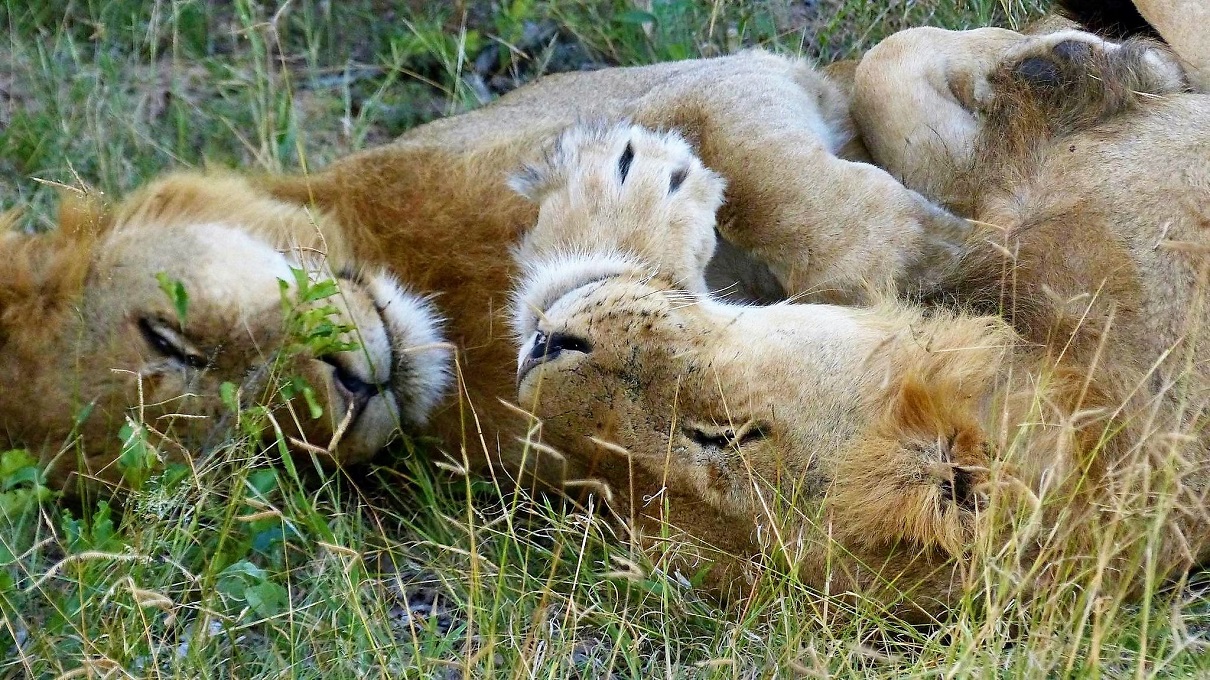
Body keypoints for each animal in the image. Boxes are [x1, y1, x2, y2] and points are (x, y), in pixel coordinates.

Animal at [513, 17, 1210, 614]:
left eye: (724, 435)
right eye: (610, 496)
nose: (545, 348)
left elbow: (890, 70)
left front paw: (1086, 65)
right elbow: (889, 86)